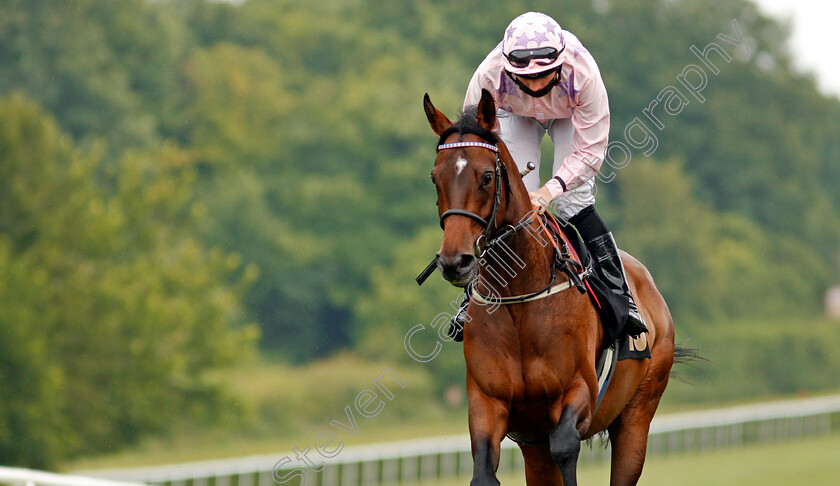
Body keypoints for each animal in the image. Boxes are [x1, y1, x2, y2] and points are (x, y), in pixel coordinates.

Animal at [426, 89, 676, 484]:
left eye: (486, 177)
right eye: (435, 177)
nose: (455, 261)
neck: (518, 298)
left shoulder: (580, 393)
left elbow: (565, 446)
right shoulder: (488, 402)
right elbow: (483, 471)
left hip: (637, 416)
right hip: (534, 446)